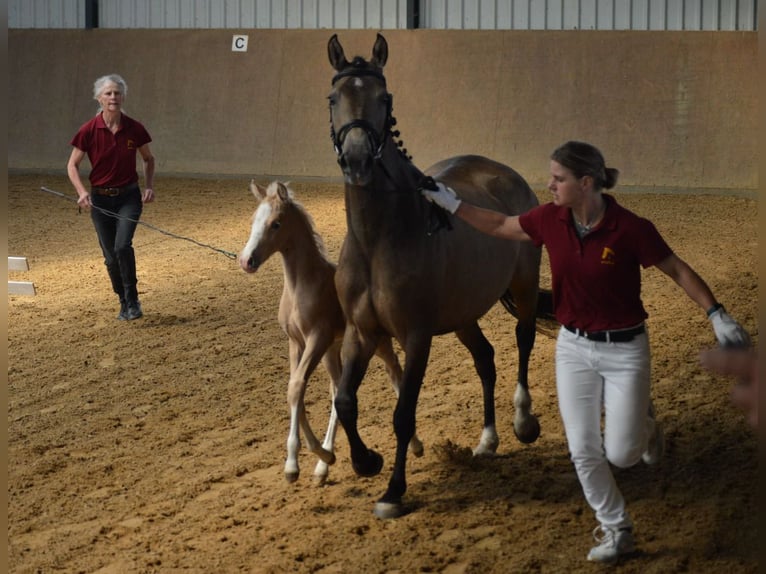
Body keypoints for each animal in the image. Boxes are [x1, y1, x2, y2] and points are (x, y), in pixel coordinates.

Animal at [238, 180, 423, 484]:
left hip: (375, 343)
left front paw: (294, 464)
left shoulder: (317, 338)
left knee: (394, 371)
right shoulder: (296, 343)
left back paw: (416, 444)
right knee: (337, 389)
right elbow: (295, 390)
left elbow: (297, 387)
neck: (300, 286)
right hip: (333, 351)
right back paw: (323, 466)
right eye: (254, 220)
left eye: (276, 224)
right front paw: (320, 457)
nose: (247, 261)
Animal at [327, 33, 548, 518]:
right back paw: (486, 441)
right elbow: (346, 401)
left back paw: (523, 421)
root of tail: (505, 174)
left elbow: (403, 413)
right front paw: (366, 461)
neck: (378, 238)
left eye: (384, 98)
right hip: (464, 314)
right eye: (334, 98)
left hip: (523, 287)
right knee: (485, 359)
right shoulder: (361, 332)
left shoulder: (417, 336)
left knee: (523, 339)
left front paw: (393, 491)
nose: (357, 159)